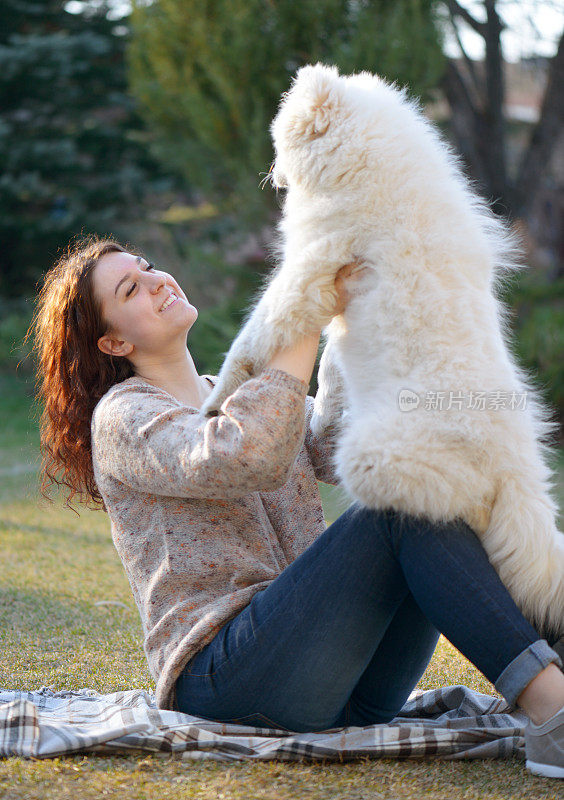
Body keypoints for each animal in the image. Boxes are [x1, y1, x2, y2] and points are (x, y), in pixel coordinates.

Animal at [203, 61, 564, 636]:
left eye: (279, 137)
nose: (272, 172)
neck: (366, 162)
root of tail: (517, 470)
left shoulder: (308, 270)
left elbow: (252, 338)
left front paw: (212, 401)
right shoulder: (333, 295)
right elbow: (328, 368)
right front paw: (319, 417)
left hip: (373, 460)